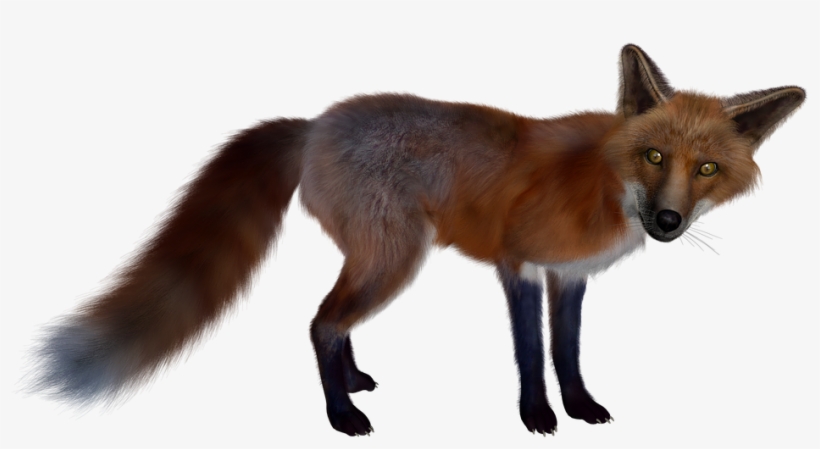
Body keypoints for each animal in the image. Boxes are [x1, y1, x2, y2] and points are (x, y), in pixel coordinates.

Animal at [29, 44, 804, 436]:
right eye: (653, 155)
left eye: (706, 169)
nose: (667, 223)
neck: (602, 180)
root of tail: (314, 124)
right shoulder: (518, 265)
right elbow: (531, 356)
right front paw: (536, 416)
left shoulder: (570, 275)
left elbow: (569, 351)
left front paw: (581, 407)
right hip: (395, 259)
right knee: (320, 321)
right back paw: (342, 414)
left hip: (376, 258)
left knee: (333, 322)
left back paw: (352, 381)